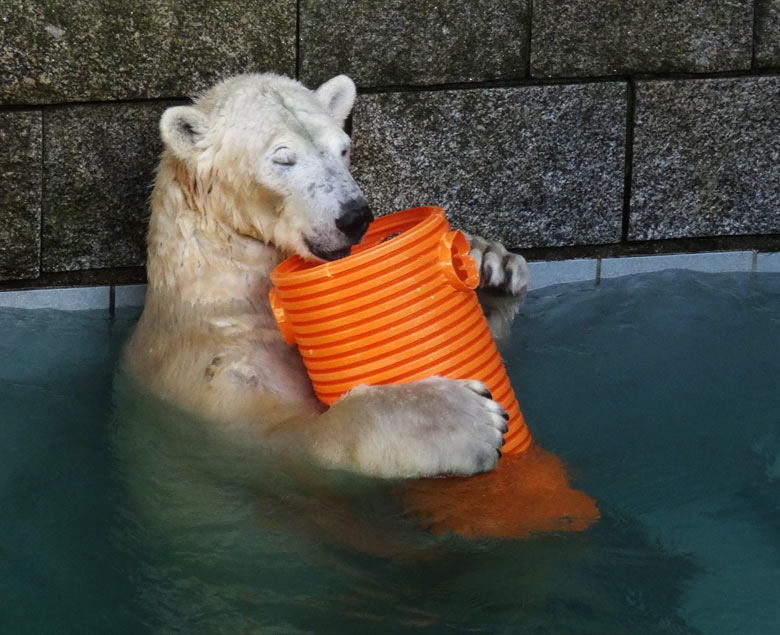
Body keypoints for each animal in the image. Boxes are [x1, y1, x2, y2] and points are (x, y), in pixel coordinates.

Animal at [123, 73, 532, 482]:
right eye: (283, 158)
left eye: (342, 149)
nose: (355, 217)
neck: (225, 291)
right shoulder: (217, 378)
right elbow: (292, 442)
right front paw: (463, 418)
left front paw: (488, 267)